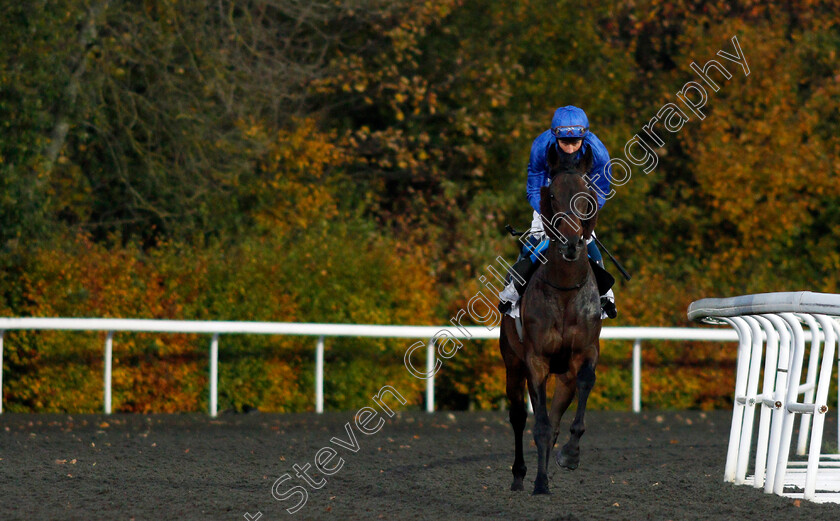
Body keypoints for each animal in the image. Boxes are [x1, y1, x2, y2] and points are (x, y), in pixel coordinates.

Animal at [498, 144, 604, 494]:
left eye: (587, 193)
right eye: (553, 195)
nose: (571, 244)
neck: (565, 289)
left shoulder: (585, 352)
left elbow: (584, 385)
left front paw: (570, 455)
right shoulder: (536, 360)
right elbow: (539, 423)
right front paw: (540, 482)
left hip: (564, 375)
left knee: (557, 416)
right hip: (512, 362)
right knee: (518, 416)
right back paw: (520, 475)